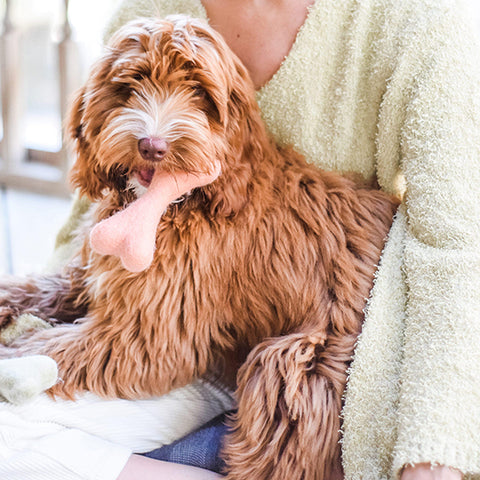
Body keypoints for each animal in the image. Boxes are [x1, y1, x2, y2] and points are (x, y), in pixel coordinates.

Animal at [0, 15, 398, 480]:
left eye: (200, 95)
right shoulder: (89, 278)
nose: (152, 145)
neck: (181, 204)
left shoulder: (142, 337)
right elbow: (37, 288)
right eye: (131, 84)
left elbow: (46, 346)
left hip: (299, 364)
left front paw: (13, 351)